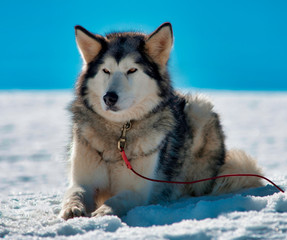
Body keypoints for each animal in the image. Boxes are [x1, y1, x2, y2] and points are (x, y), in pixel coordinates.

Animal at [60, 22, 264, 219]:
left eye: (132, 70)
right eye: (106, 71)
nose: (109, 97)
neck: (120, 132)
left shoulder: (138, 190)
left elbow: (117, 199)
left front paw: (103, 212)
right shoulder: (83, 181)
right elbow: (75, 193)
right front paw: (72, 208)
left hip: (199, 109)